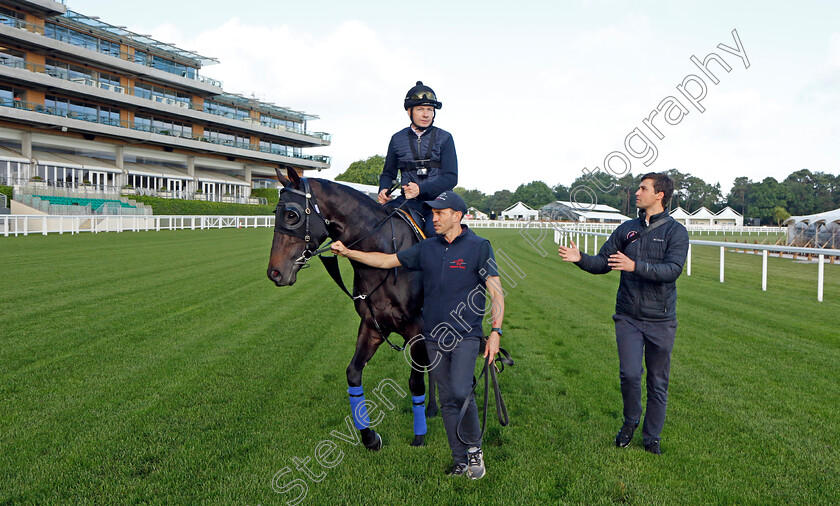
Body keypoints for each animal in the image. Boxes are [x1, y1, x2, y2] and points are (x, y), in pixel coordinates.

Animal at [266, 170, 436, 450]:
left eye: (291, 215)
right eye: (275, 212)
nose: (275, 272)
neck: (384, 257)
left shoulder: (417, 330)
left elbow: (415, 381)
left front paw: (420, 434)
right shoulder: (372, 327)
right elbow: (353, 375)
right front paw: (369, 436)